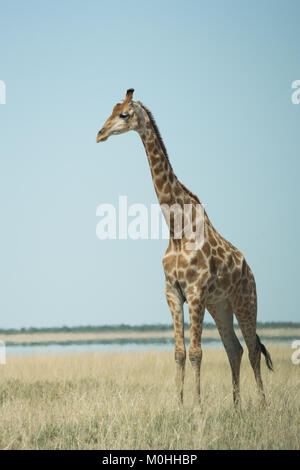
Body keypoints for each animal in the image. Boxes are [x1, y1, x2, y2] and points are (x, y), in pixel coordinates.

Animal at [96, 88, 272, 408]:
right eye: (111, 111)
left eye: (124, 114)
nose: (100, 133)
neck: (177, 229)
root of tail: (249, 270)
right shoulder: (173, 292)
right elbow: (179, 352)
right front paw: (179, 406)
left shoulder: (196, 291)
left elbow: (196, 353)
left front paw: (198, 407)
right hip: (221, 305)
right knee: (234, 348)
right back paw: (237, 407)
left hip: (245, 300)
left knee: (253, 348)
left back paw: (263, 406)